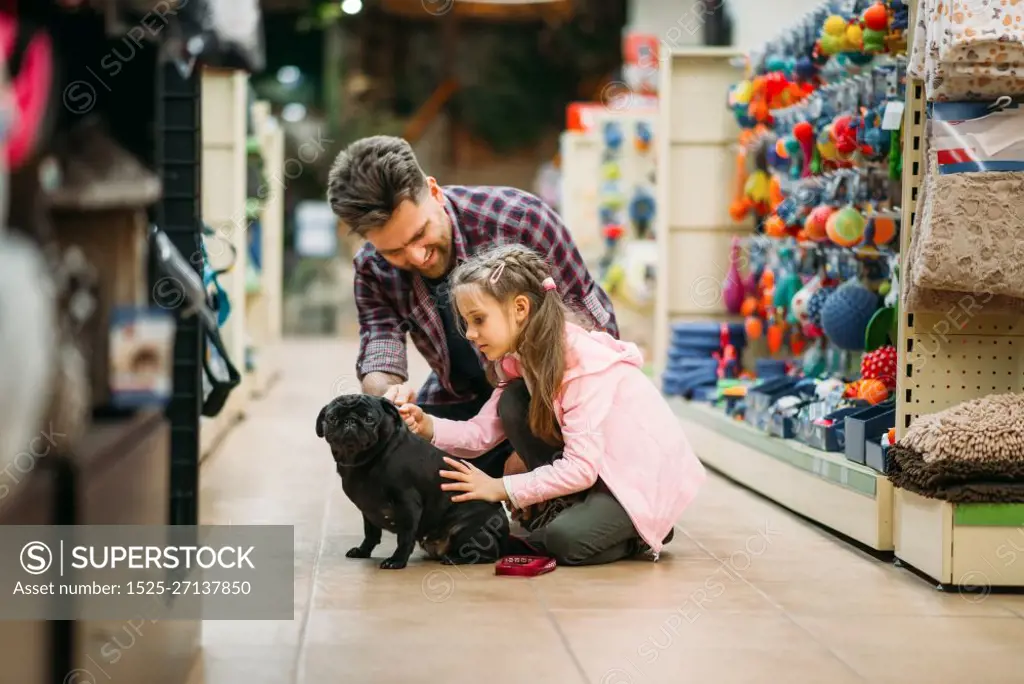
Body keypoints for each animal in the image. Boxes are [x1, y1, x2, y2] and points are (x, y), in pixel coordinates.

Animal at [313, 393, 509, 569]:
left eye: (369, 418)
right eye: (331, 417)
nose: (350, 421)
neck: (368, 459)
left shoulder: (407, 503)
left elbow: (405, 537)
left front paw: (397, 561)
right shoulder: (367, 510)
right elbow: (370, 533)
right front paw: (363, 551)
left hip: (465, 530)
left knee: (487, 553)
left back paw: (455, 558)